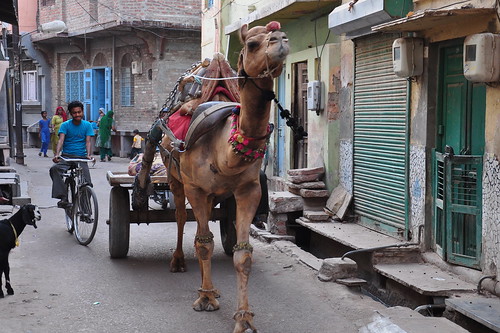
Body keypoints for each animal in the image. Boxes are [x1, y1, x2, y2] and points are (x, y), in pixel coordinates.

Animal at [134, 21, 290, 332]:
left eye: (280, 34)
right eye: (252, 44)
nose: (281, 40)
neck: (225, 149)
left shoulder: (249, 190)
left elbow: (243, 254)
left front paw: (243, 318)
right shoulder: (196, 188)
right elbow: (204, 243)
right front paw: (205, 298)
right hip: (176, 179)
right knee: (181, 219)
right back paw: (178, 262)